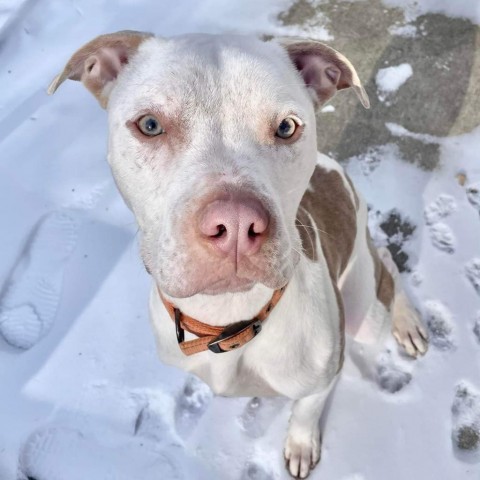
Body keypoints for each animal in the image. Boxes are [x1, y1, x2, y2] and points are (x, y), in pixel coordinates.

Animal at [49, 31, 428, 478]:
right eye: (150, 125)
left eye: (286, 127)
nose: (234, 223)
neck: (228, 318)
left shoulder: (322, 379)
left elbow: (304, 413)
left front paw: (301, 445)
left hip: (363, 314)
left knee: (386, 268)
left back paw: (408, 324)